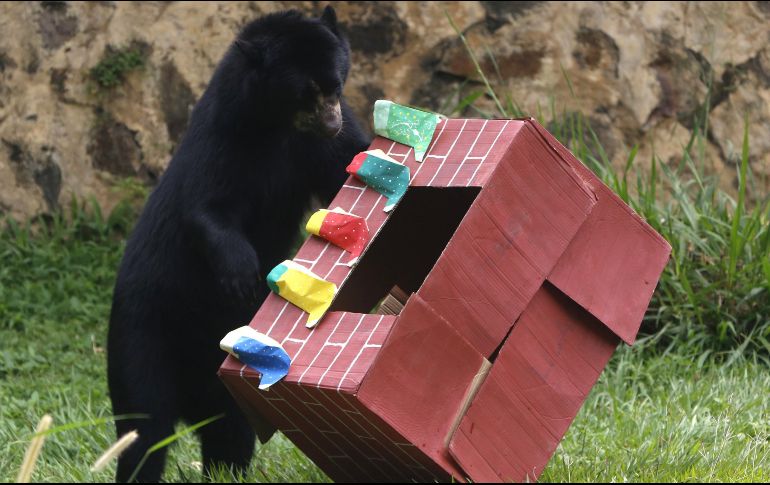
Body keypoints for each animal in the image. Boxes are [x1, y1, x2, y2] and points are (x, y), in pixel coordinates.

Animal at [106, 6, 370, 482]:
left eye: (336, 86)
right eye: (306, 92)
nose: (331, 122)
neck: (274, 126)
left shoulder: (313, 148)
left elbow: (344, 166)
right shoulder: (222, 140)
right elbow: (208, 207)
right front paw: (242, 276)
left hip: (225, 378)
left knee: (229, 427)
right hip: (142, 334)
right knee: (144, 424)